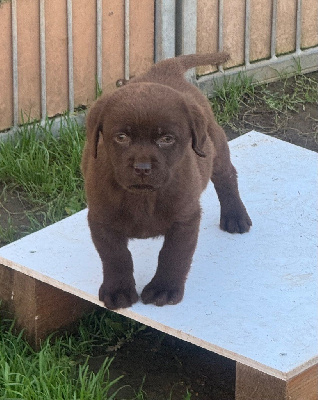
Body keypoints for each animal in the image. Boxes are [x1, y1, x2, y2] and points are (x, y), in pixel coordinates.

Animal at [82, 52, 251, 310]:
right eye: (121, 137)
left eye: (167, 139)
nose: (142, 168)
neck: (144, 196)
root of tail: (165, 68)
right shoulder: (101, 218)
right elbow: (116, 256)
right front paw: (118, 290)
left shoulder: (185, 218)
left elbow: (173, 254)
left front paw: (164, 289)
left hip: (215, 147)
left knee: (227, 177)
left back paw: (235, 216)